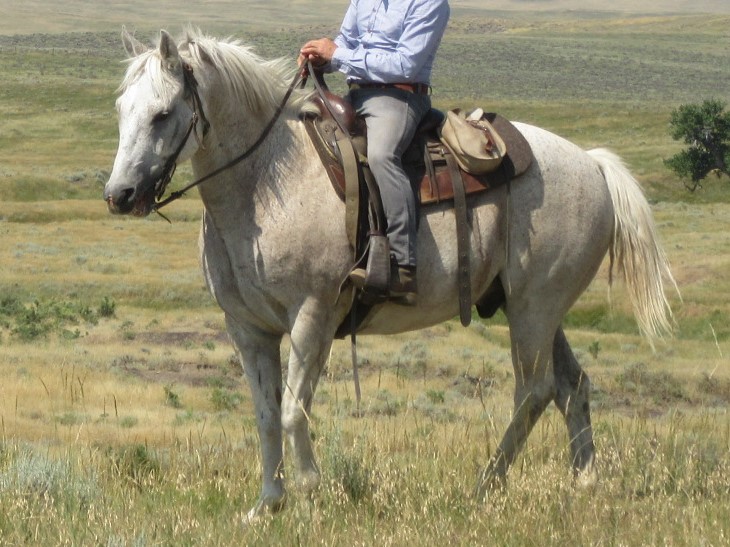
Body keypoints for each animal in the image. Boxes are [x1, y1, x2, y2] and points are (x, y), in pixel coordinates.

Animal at [104, 28, 677, 521]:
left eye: (162, 114)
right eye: (121, 110)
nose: (120, 195)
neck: (266, 182)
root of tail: (592, 163)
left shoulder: (312, 315)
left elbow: (293, 410)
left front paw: (310, 496)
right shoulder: (247, 327)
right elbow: (266, 415)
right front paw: (268, 504)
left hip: (534, 307)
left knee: (533, 390)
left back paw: (485, 485)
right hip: (539, 308)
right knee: (572, 386)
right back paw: (584, 484)